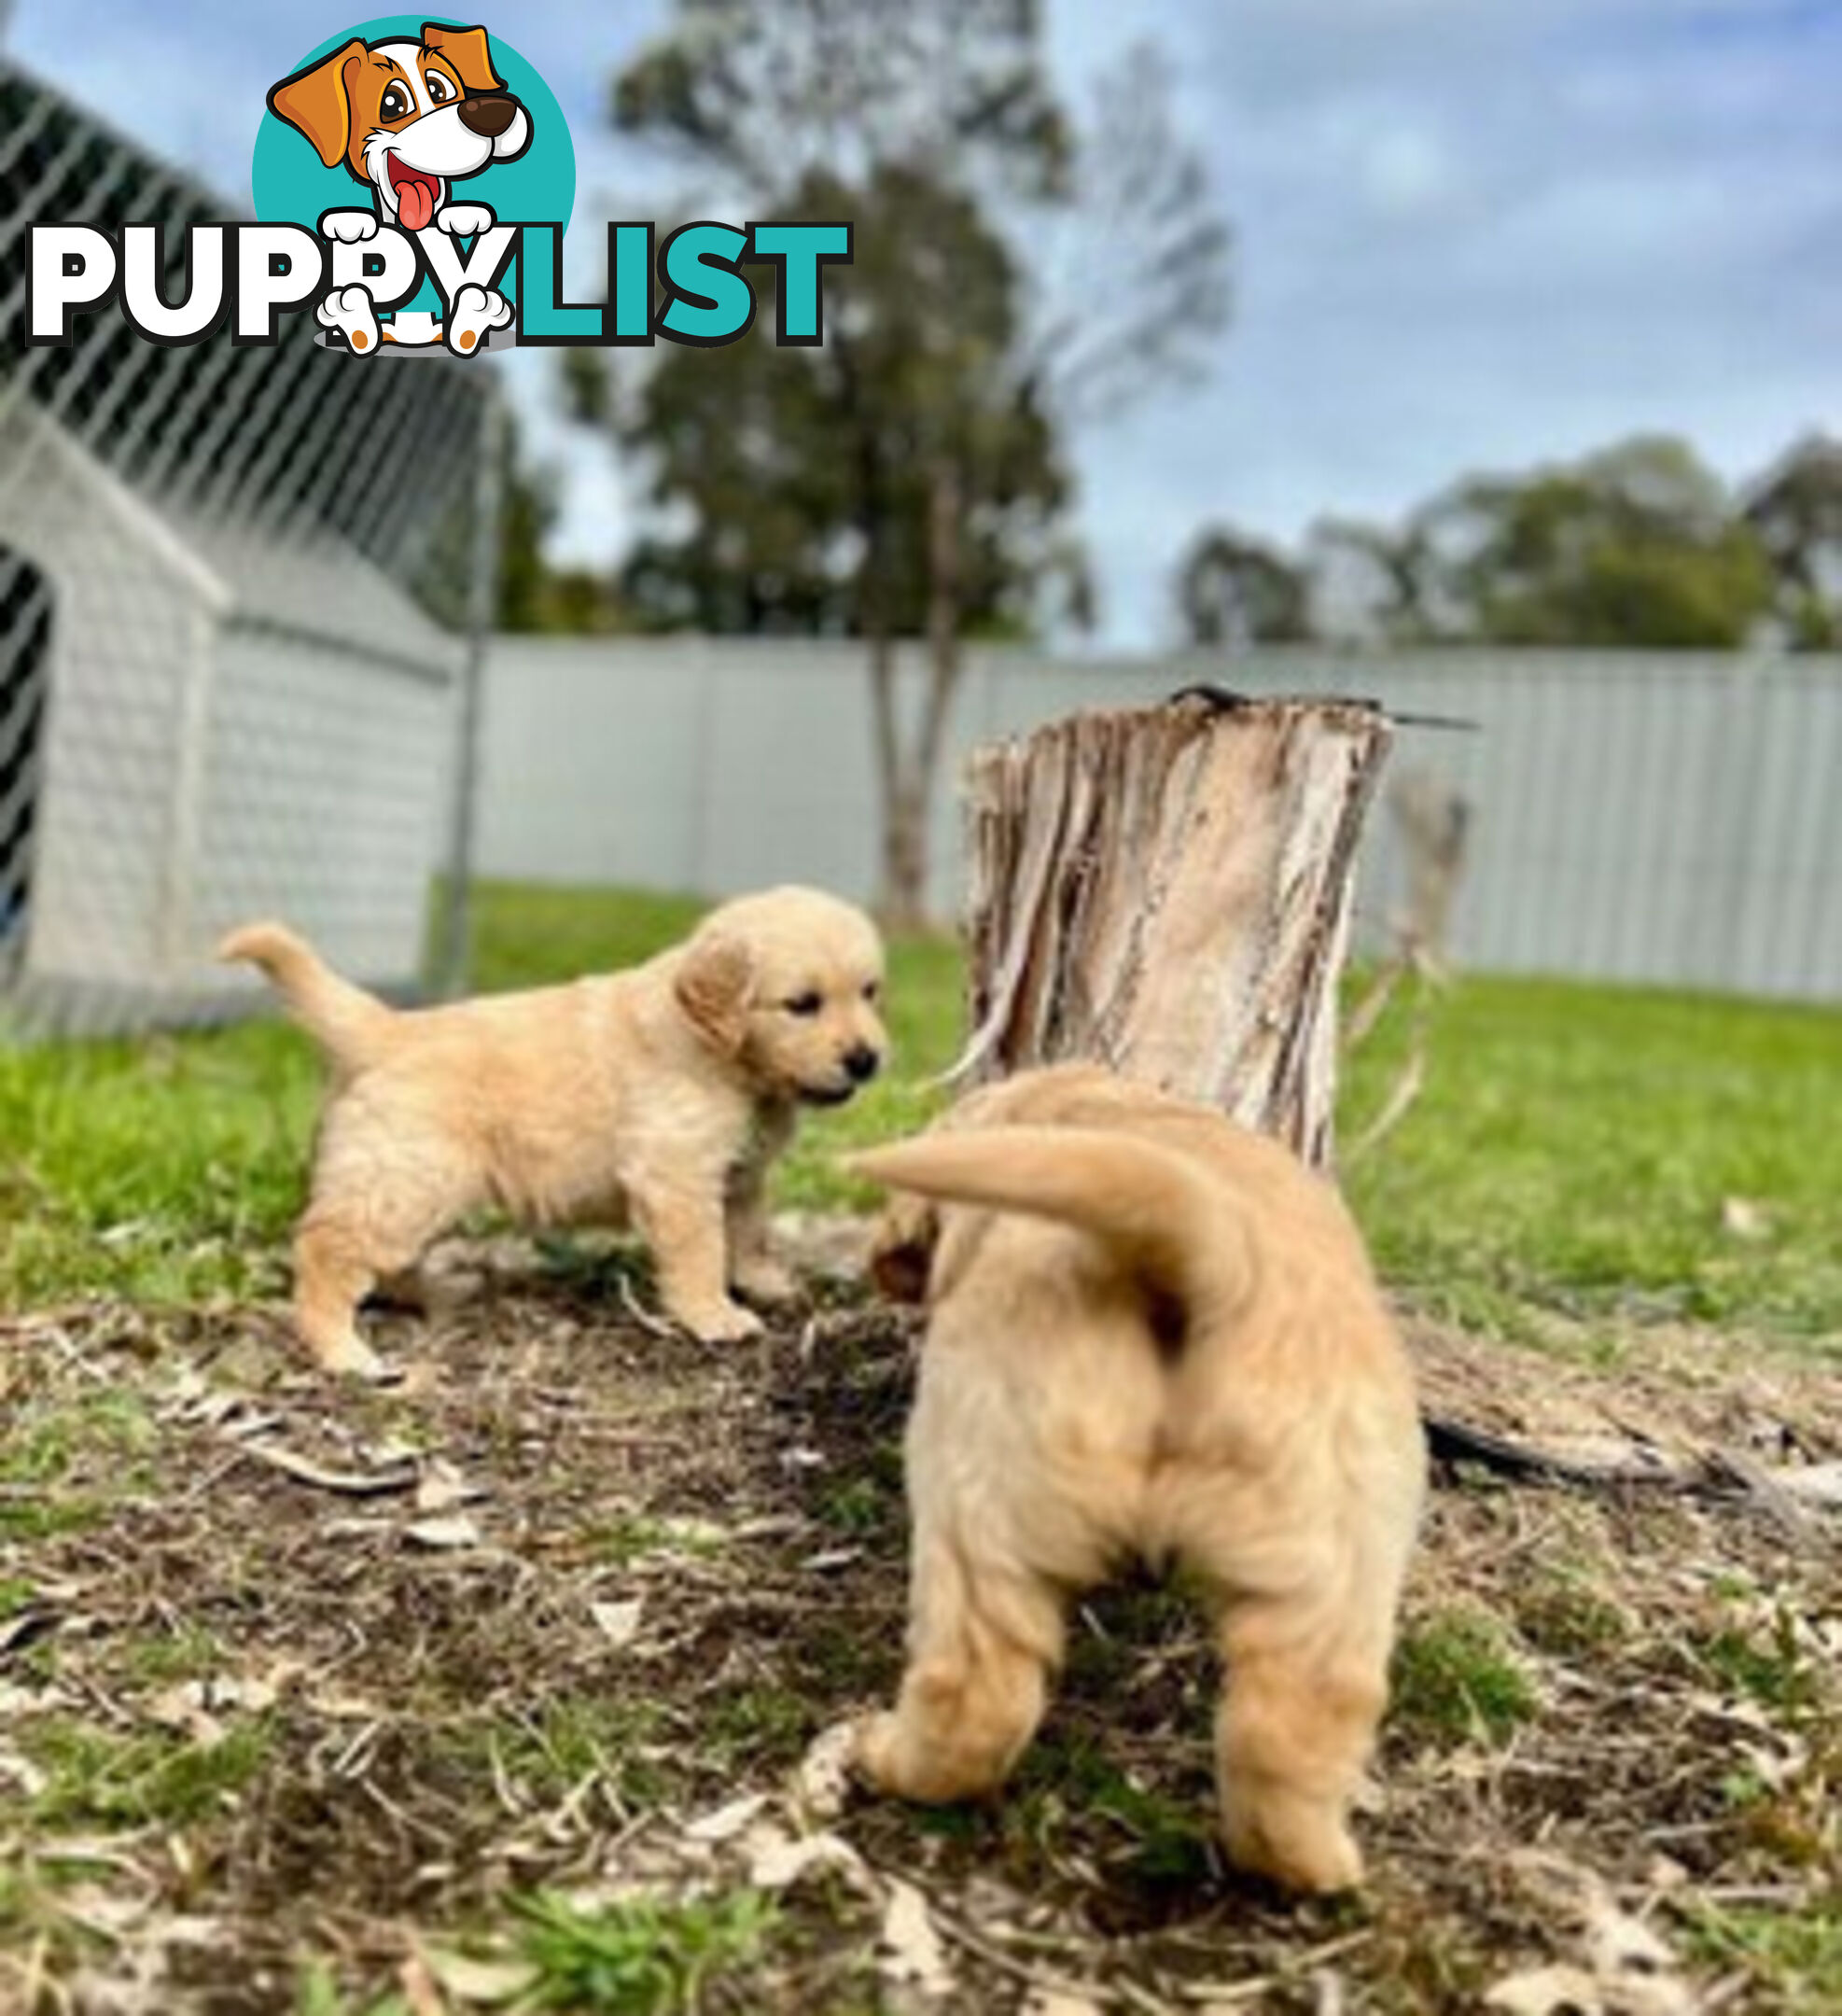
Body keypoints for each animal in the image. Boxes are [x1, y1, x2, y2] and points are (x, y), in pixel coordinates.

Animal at [222, 890, 882, 1379]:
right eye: (803, 1004)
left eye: (870, 991)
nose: (867, 1060)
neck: (724, 1055)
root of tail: (386, 1028)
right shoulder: (676, 1174)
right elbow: (701, 1251)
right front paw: (713, 1314)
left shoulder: (739, 1175)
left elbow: (748, 1234)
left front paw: (763, 1283)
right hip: (405, 1178)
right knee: (325, 1249)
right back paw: (341, 1349)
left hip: (409, 1181)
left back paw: (432, 1294)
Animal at [846, 1064, 1418, 1895]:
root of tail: (1211, 1254)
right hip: (1340, 1557)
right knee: (1291, 1734)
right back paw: (1314, 1866)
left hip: (973, 1482)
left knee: (976, 1696)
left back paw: (888, 1757)